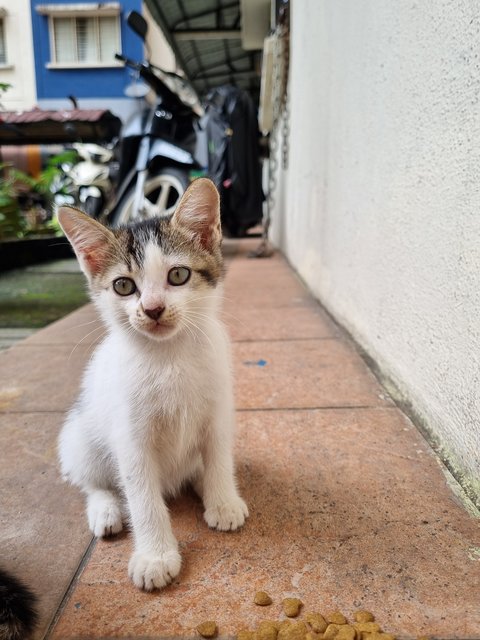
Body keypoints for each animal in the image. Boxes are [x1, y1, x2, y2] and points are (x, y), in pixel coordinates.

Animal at [58, 176, 249, 592]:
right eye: (123, 286)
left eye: (178, 275)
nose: (153, 309)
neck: (169, 357)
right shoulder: (131, 439)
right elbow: (142, 497)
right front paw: (155, 557)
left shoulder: (218, 410)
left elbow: (217, 455)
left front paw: (223, 499)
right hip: (79, 435)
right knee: (91, 479)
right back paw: (106, 509)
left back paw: (202, 483)